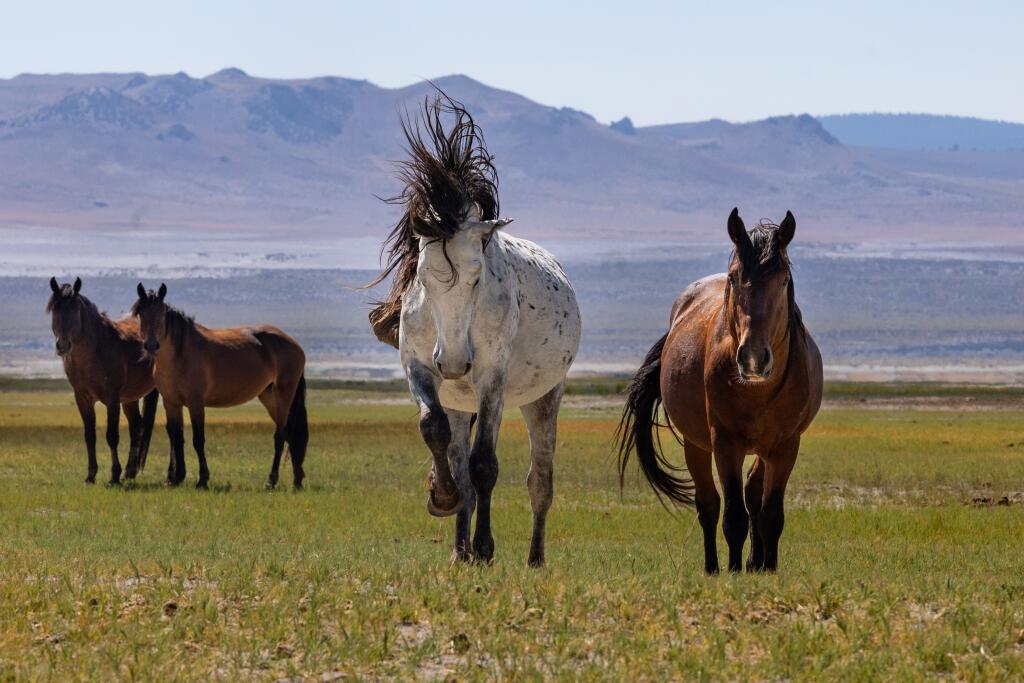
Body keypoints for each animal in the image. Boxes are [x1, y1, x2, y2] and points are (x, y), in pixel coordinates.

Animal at [47, 277, 159, 485]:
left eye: (74, 310)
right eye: (54, 310)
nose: (63, 345)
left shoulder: (112, 398)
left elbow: (111, 436)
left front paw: (114, 475)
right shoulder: (82, 398)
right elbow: (89, 435)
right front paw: (90, 475)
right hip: (130, 398)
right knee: (136, 426)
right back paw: (130, 471)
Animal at [131, 283, 308, 490]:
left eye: (161, 312)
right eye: (141, 313)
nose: (151, 346)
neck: (179, 354)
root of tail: (295, 345)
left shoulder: (196, 402)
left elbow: (198, 439)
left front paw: (202, 479)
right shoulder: (171, 402)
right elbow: (177, 437)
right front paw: (177, 478)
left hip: (284, 395)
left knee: (279, 436)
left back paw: (271, 481)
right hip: (269, 396)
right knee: (290, 434)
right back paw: (297, 480)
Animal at [368, 92, 581, 566]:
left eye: (477, 276)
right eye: (420, 278)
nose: (452, 362)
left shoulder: (491, 380)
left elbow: (486, 465)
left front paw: (485, 547)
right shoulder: (418, 368)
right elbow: (434, 431)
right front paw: (440, 498)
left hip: (542, 399)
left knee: (539, 482)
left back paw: (532, 558)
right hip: (461, 400)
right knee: (459, 458)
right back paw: (458, 550)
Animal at [617, 209, 822, 573]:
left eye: (783, 280)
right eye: (734, 277)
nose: (754, 357)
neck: (757, 390)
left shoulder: (786, 446)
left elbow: (771, 514)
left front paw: (768, 567)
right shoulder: (726, 442)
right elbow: (733, 516)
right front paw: (733, 570)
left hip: (764, 448)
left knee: (753, 494)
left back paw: (756, 562)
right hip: (696, 444)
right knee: (709, 505)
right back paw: (713, 566)